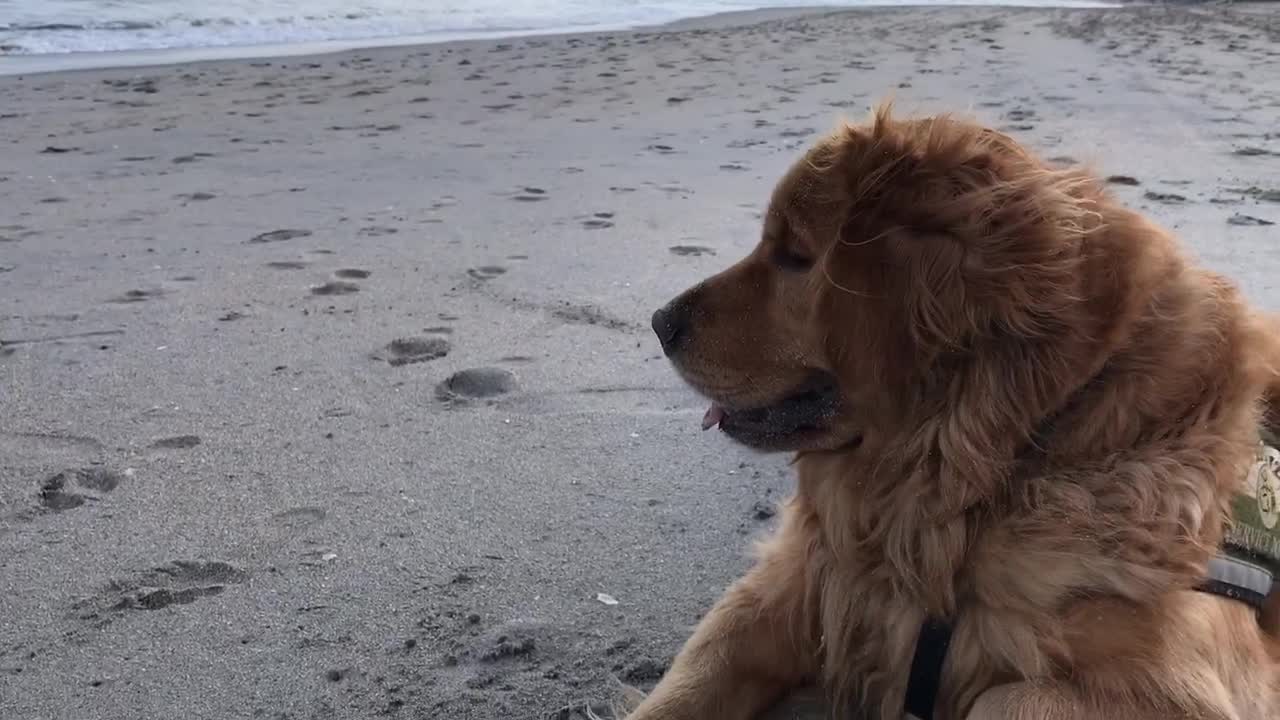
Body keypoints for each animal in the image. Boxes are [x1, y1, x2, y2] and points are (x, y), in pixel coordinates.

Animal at [629, 105, 1280, 717]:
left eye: (795, 256)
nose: (660, 323)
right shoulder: (799, 584)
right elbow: (693, 677)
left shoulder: (1182, 688)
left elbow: (1002, 698)